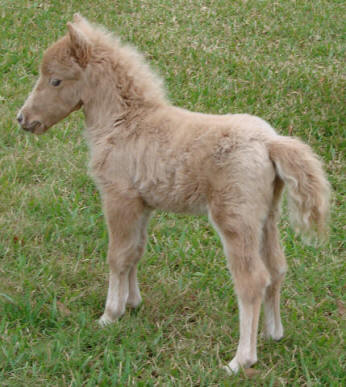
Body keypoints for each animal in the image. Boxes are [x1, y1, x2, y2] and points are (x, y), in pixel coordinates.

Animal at [18, 15, 330, 376]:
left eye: (55, 80)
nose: (23, 119)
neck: (123, 122)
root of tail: (271, 143)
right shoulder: (142, 204)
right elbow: (135, 252)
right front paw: (132, 303)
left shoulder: (118, 197)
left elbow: (116, 256)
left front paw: (109, 315)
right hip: (267, 218)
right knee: (277, 269)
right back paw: (273, 333)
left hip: (235, 219)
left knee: (252, 280)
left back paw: (240, 359)